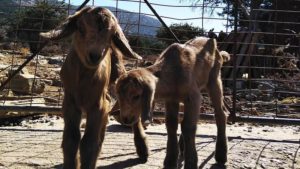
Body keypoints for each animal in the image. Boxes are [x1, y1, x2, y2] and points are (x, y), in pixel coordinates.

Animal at [40, 6, 143, 169]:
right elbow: (71, 139)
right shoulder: (69, 103)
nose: (95, 56)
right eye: (80, 28)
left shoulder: (97, 105)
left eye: (112, 34)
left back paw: (142, 151)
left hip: (119, 76)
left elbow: (88, 143)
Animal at [115, 36, 230, 168]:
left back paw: (221, 155)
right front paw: (170, 161)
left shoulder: (193, 97)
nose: (126, 119)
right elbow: (171, 124)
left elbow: (188, 126)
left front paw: (191, 163)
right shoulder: (171, 99)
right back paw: (183, 146)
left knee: (221, 114)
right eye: (119, 96)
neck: (173, 71)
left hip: (214, 78)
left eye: (136, 96)